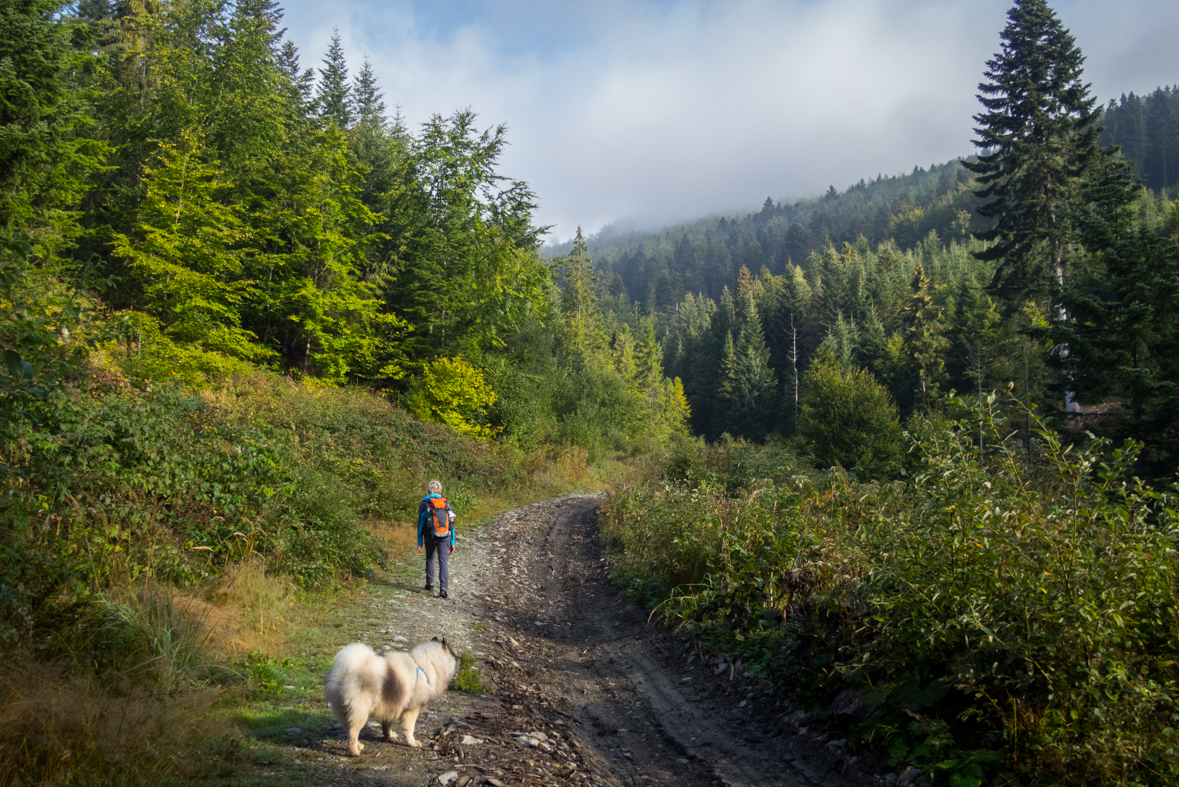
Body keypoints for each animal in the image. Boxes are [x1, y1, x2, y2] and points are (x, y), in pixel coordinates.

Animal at [325, 636, 457, 754]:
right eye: (453, 653)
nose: (457, 658)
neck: (423, 666)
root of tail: (346, 672)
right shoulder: (411, 710)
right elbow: (410, 728)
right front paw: (412, 743)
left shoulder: (392, 706)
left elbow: (387, 725)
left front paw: (389, 736)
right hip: (360, 711)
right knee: (353, 732)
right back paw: (354, 752)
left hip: (344, 710)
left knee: (348, 730)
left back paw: (359, 746)